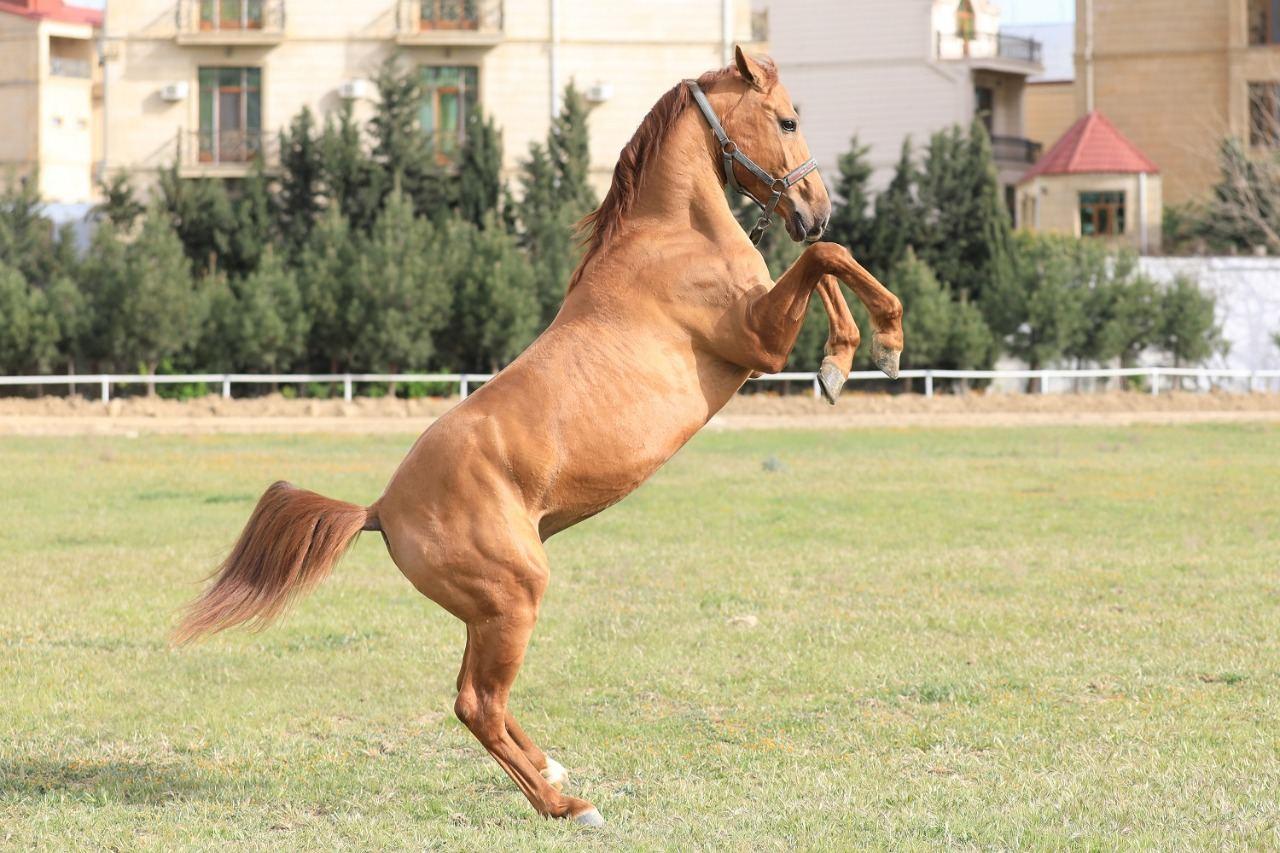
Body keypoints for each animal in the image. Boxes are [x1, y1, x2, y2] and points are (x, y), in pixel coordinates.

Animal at [175, 48, 906, 824]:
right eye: (788, 119)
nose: (815, 208)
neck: (674, 237)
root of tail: (379, 509)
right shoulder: (756, 342)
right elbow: (828, 260)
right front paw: (877, 344)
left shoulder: (762, 328)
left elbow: (824, 265)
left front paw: (842, 363)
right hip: (514, 598)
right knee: (477, 704)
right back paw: (567, 805)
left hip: (487, 612)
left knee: (475, 698)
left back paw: (554, 772)